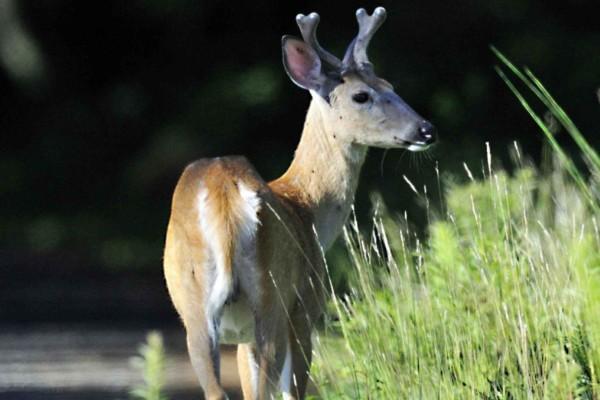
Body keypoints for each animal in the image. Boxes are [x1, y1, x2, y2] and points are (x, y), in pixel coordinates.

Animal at [163, 6, 436, 400]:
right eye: (361, 95)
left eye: (391, 85)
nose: (426, 130)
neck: (306, 207)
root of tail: (223, 197)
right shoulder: (306, 306)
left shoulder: (241, 335)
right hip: (272, 300)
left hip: (195, 309)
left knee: (217, 389)